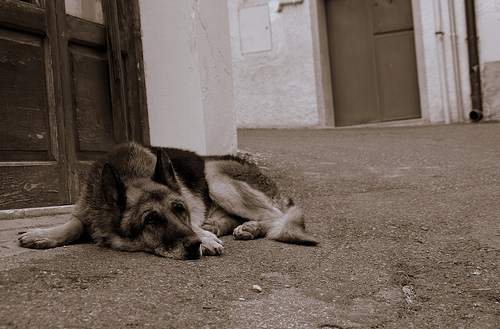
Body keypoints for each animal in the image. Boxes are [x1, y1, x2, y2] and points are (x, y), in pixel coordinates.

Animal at [18, 141, 320, 258]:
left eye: (179, 209)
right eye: (151, 219)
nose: (195, 244)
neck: (130, 173)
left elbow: (193, 226)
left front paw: (204, 239)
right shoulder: (85, 211)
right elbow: (72, 225)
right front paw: (43, 234)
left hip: (215, 176)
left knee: (275, 216)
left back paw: (247, 227)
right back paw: (231, 226)